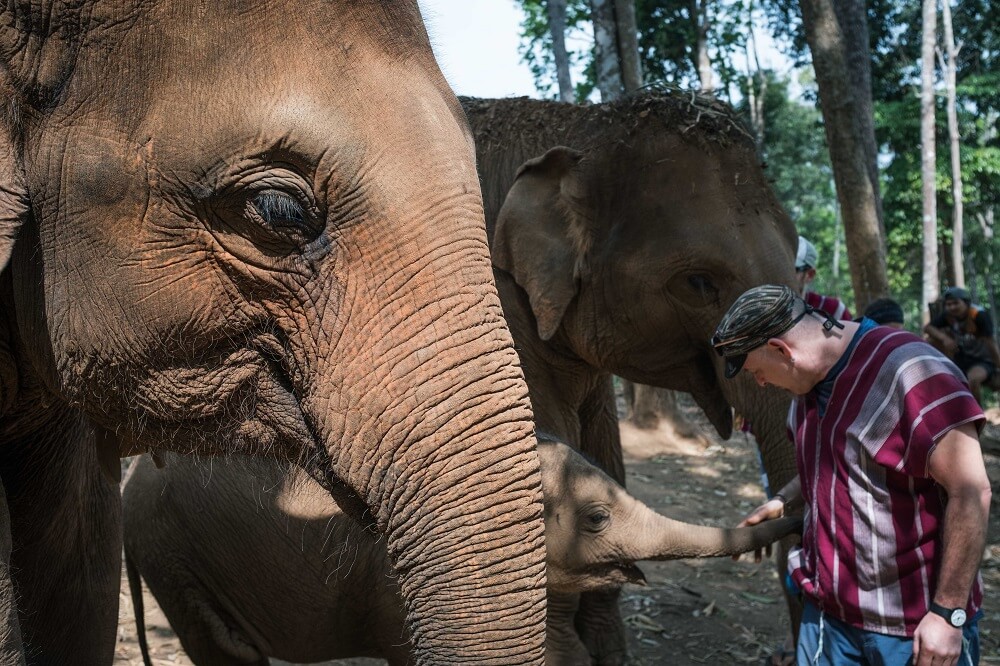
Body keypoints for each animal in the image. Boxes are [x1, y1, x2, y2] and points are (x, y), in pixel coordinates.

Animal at [458, 93, 801, 663]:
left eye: (799, 257)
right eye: (699, 282)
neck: (576, 125)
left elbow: (603, 452)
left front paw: (608, 650)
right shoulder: (496, 309)